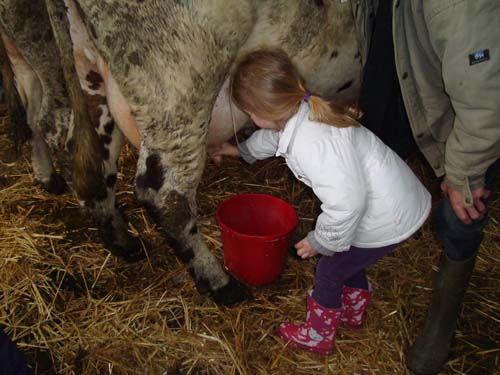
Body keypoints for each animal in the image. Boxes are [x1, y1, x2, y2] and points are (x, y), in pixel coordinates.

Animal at [0, 0, 376, 306]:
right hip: (179, 81)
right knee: (165, 194)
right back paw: (220, 283)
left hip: (81, 70)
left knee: (66, 137)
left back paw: (121, 240)